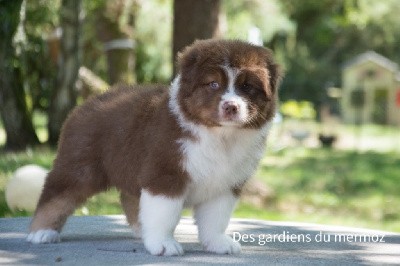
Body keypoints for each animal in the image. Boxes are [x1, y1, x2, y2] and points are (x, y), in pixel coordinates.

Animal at [26, 39, 282, 256]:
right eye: (213, 84)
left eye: (247, 86)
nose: (231, 106)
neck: (220, 136)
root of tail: (88, 103)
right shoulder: (165, 173)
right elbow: (164, 214)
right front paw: (163, 244)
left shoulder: (226, 183)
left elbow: (215, 218)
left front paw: (218, 243)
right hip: (79, 167)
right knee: (56, 194)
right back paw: (41, 231)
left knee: (130, 197)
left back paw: (141, 230)